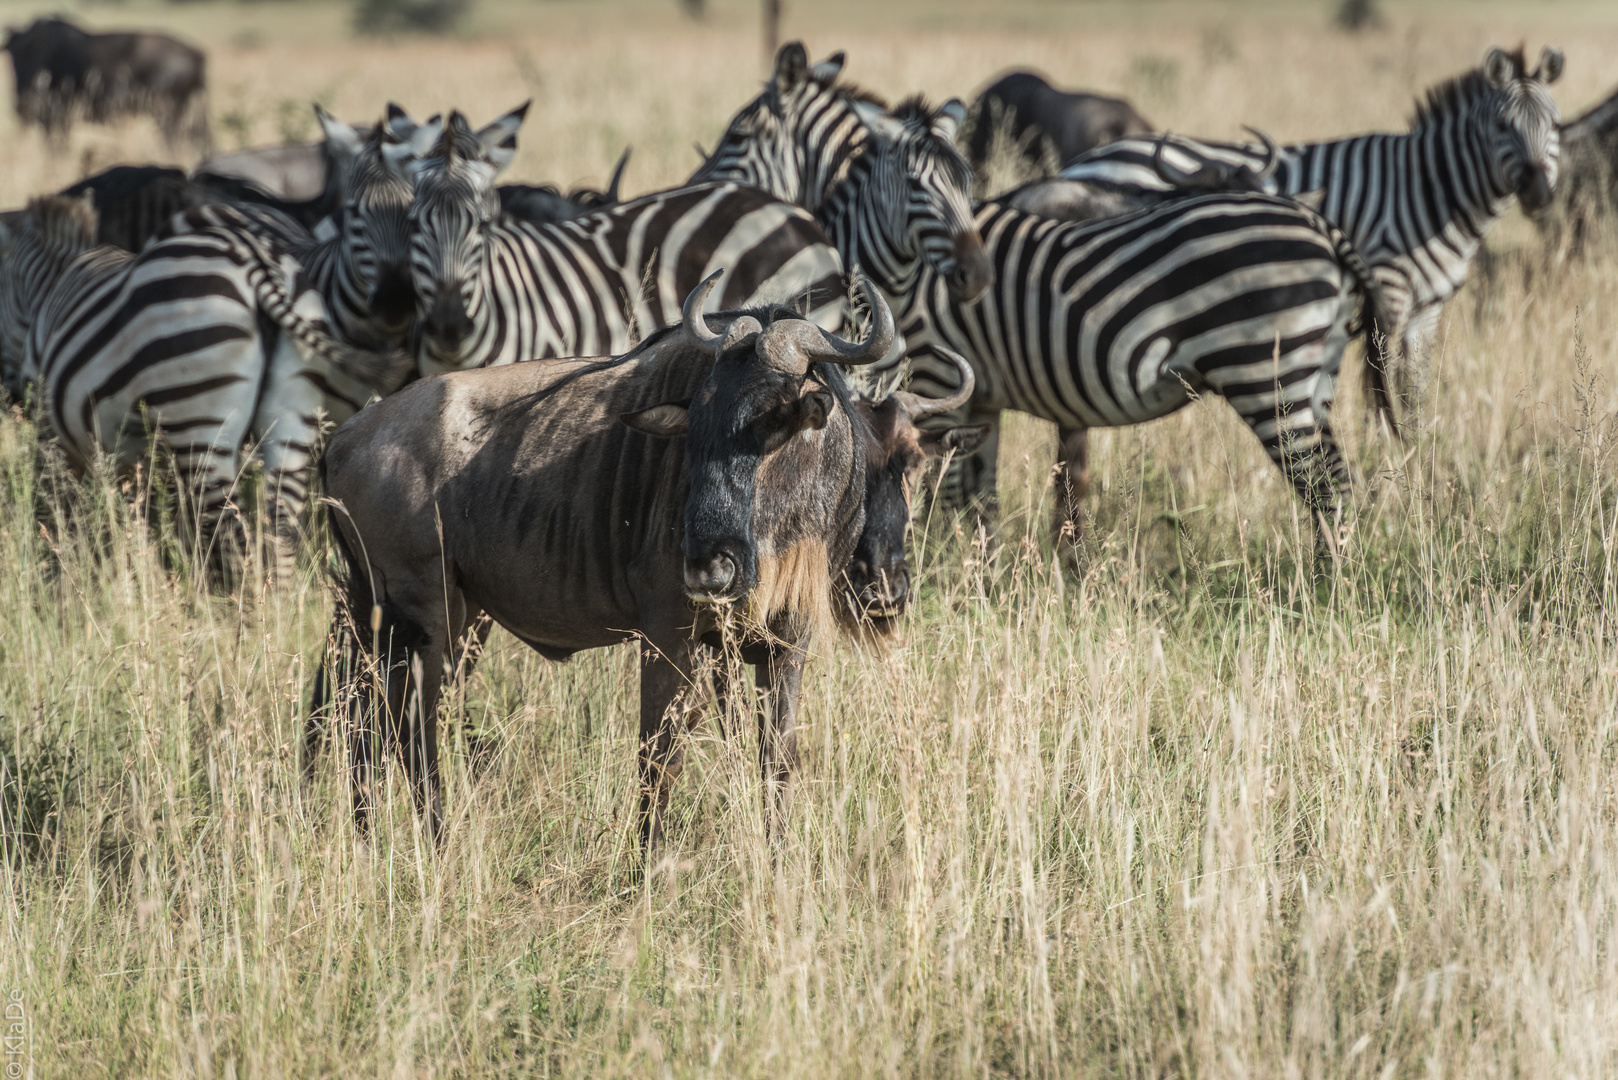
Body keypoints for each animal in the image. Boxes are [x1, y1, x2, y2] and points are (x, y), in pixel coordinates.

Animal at [886, 189, 1391, 553]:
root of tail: (1321, 227)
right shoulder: (981, 398)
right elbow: (979, 499)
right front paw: (979, 572)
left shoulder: (938, 371)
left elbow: (939, 490)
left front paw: (939, 569)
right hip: (1316, 376)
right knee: (1340, 485)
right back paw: (1340, 582)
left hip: (1266, 372)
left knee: (1324, 489)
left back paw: (1324, 594)